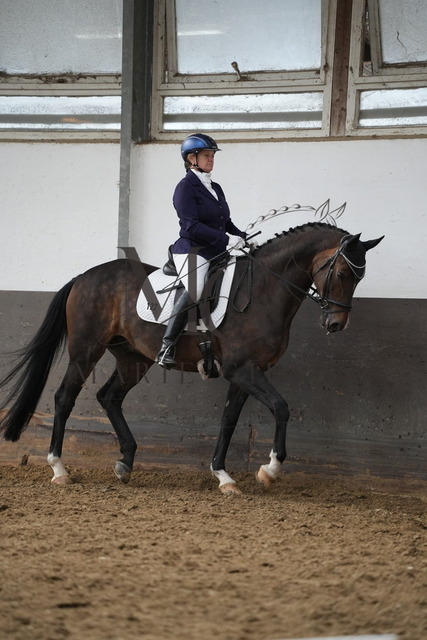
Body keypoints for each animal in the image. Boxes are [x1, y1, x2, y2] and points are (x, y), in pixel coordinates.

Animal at [0, 222, 383, 494]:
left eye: (359, 277)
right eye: (342, 273)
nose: (335, 324)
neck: (262, 291)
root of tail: (84, 276)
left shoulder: (244, 374)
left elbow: (229, 421)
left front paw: (224, 476)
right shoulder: (244, 370)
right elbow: (281, 407)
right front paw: (269, 470)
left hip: (132, 358)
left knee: (109, 397)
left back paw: (126, 462)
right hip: (85, 350)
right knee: (65, 397)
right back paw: (59, 469)